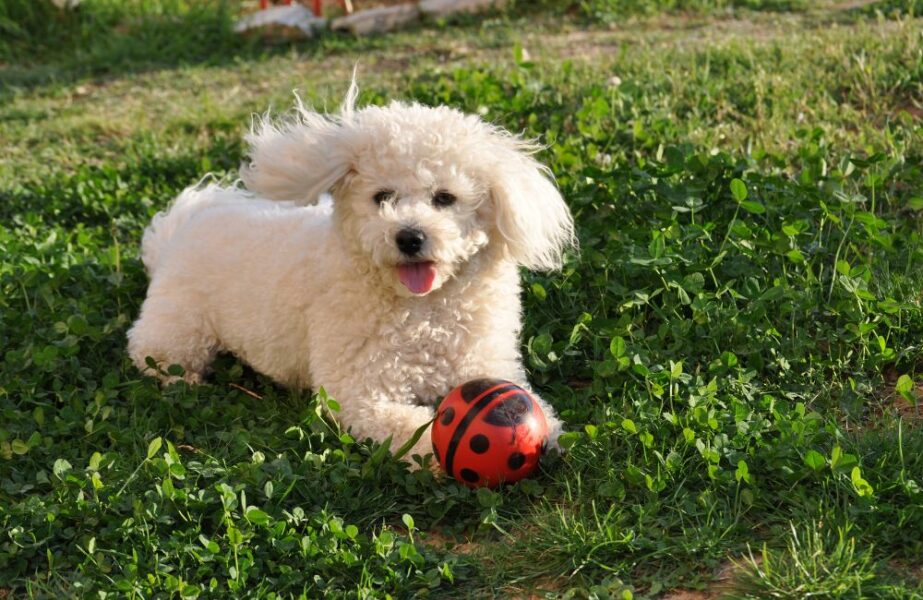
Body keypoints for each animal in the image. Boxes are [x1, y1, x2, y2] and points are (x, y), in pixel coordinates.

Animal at [128, 83, 576, 460]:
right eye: (382, 197)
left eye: (445, 198)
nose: (409, 237)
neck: (424, 311)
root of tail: (179, 231)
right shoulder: (360, 392)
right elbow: (415, 427)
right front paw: (434, 452)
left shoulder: (487, 364)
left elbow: (528, 400)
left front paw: (550, 432)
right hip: (178, 330)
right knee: (153, 353)